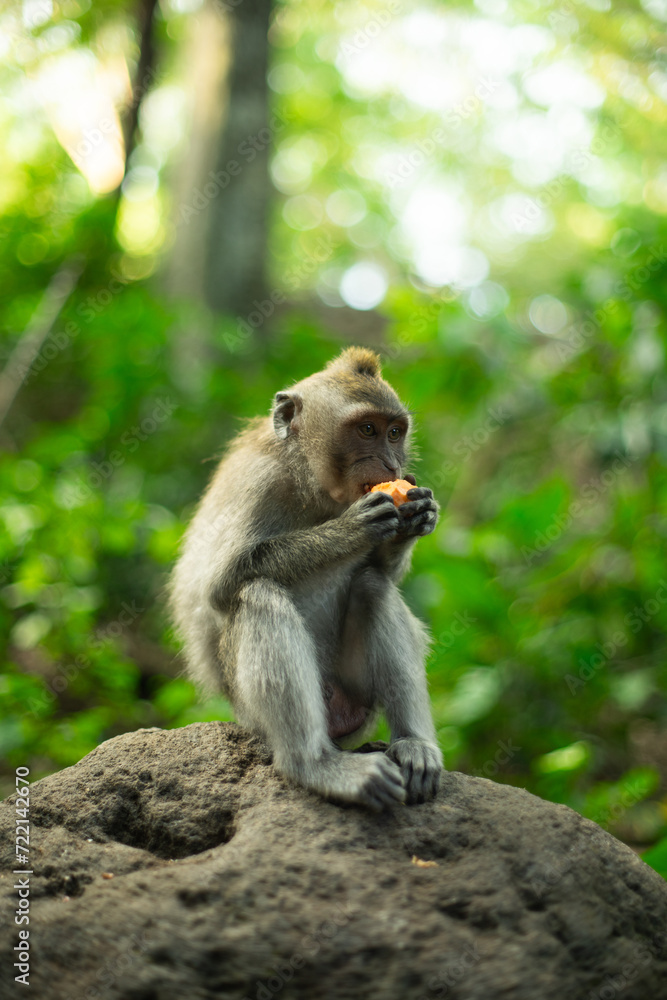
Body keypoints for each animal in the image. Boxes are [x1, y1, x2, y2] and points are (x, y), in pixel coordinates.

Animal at [170, 348, 444, 808]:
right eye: (367, 430)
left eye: (394, 433)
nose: (391, 464)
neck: (311, 482)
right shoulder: (259, 481)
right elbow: (221, 585)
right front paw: (353, 528)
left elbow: (383, 572)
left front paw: (417, 515)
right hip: (254, 713)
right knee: (257, 595)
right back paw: (315, 765)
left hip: (356, 697)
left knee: (374, 586)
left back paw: (413, 746)